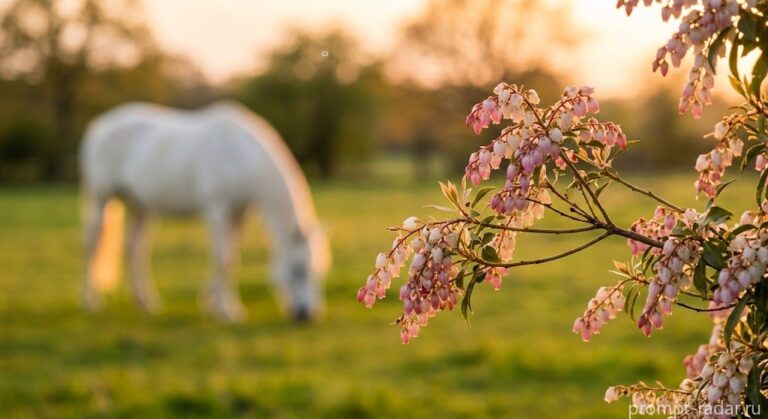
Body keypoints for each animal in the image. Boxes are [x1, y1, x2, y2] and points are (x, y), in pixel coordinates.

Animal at [78, 101, 331, 322]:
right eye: (298, 269)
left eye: (318, 271)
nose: (307, 315)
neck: (241, 156)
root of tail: (99, 126)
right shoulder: (217, 209)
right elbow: (222, 257)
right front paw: (226, 312)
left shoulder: (239, 214)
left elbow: (232, 258)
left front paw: (214, 303)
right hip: (102, 198)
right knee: (92, 245)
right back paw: (91, 302)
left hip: (140, 206)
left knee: (134, 249)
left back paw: (145, 302)